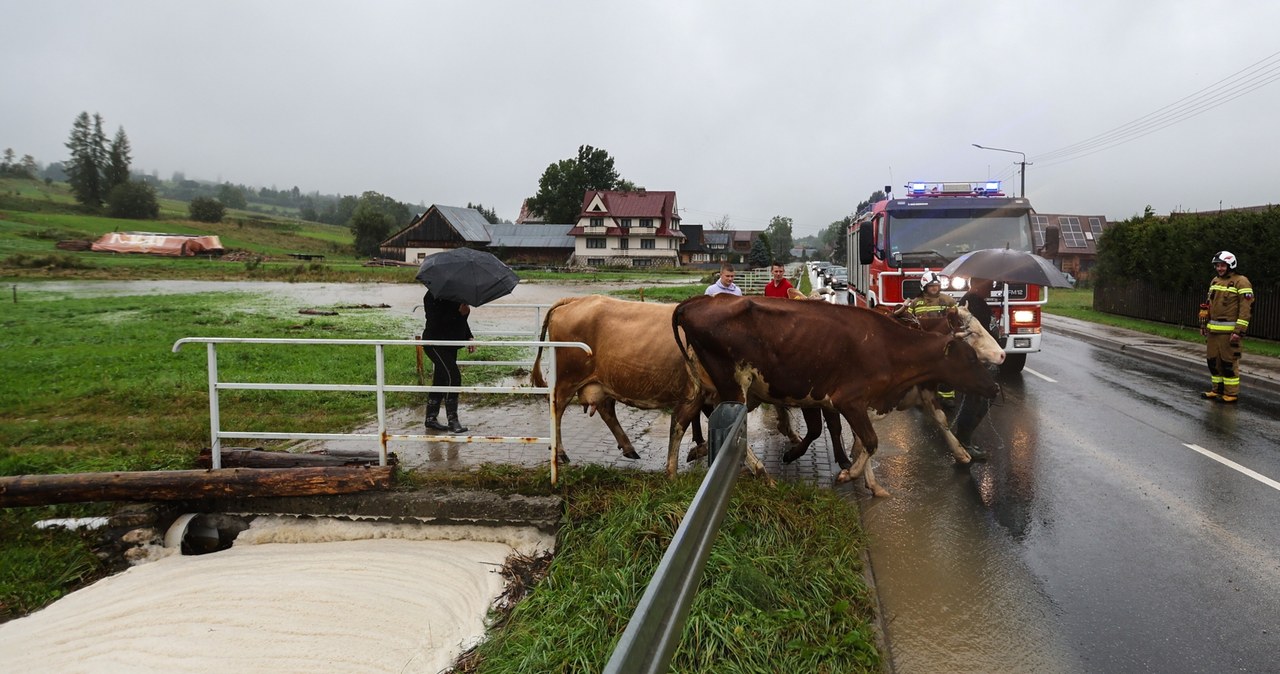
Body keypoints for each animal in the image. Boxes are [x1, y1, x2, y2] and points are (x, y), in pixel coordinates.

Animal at [670, 295, 998, 496]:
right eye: (970, 355)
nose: (995, 384)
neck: (888, 345)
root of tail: (694, 302)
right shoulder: (847, 400)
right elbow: (870, 441)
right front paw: (849, 475)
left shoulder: (870, 402)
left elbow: (868, 440)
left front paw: (871, 483)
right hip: (733, 384)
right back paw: (762, 472)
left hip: (712, 386)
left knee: (681, 418)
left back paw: (673, 471)